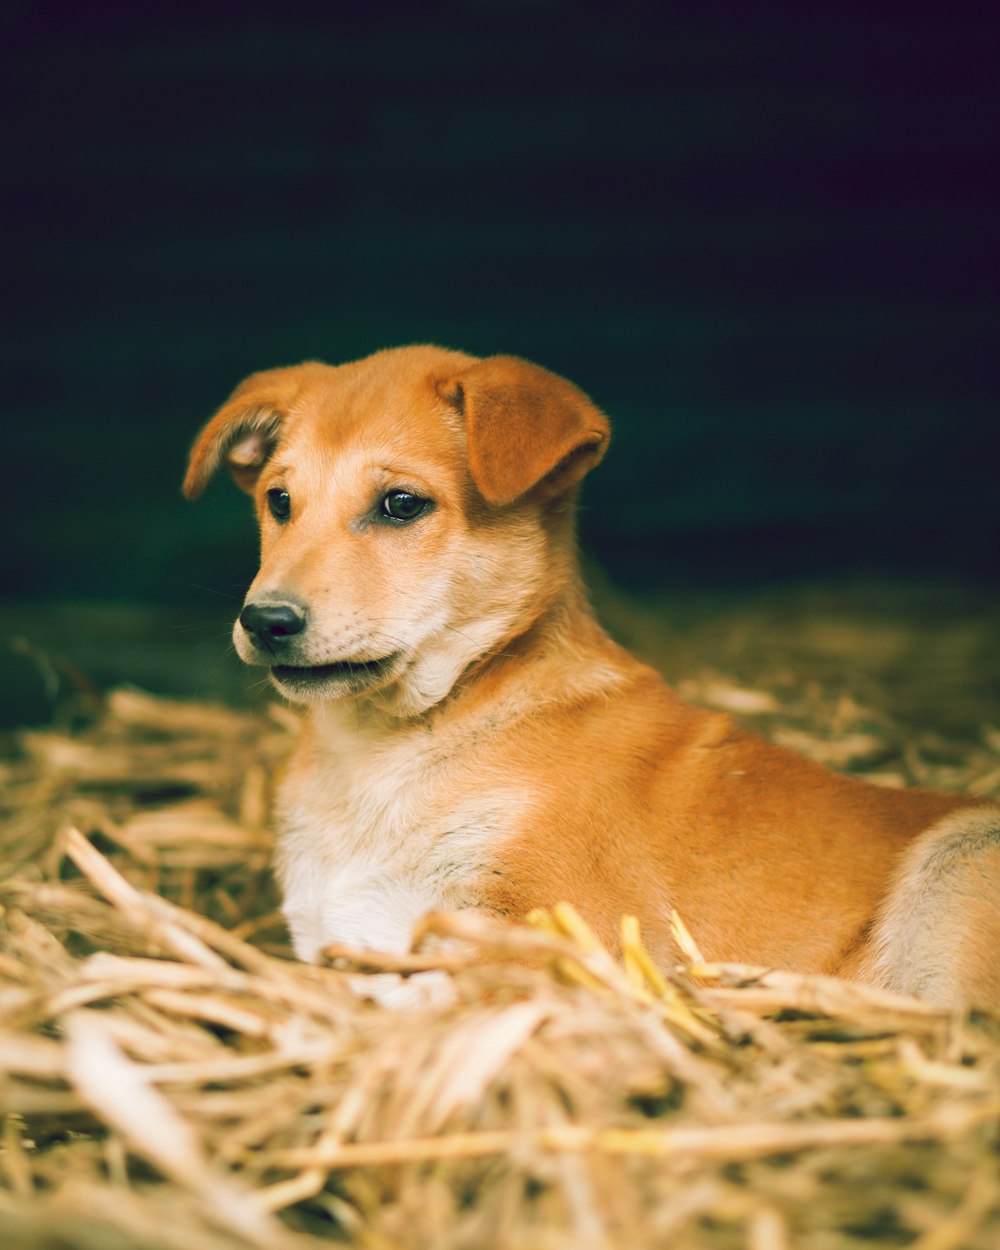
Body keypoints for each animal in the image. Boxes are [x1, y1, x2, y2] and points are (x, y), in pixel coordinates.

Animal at [185, 347, 1000, 1010]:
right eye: (279, 502)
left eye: (401, 504)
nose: (265, 621)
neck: (385, 750)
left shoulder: (564, 935)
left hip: (957, 862)